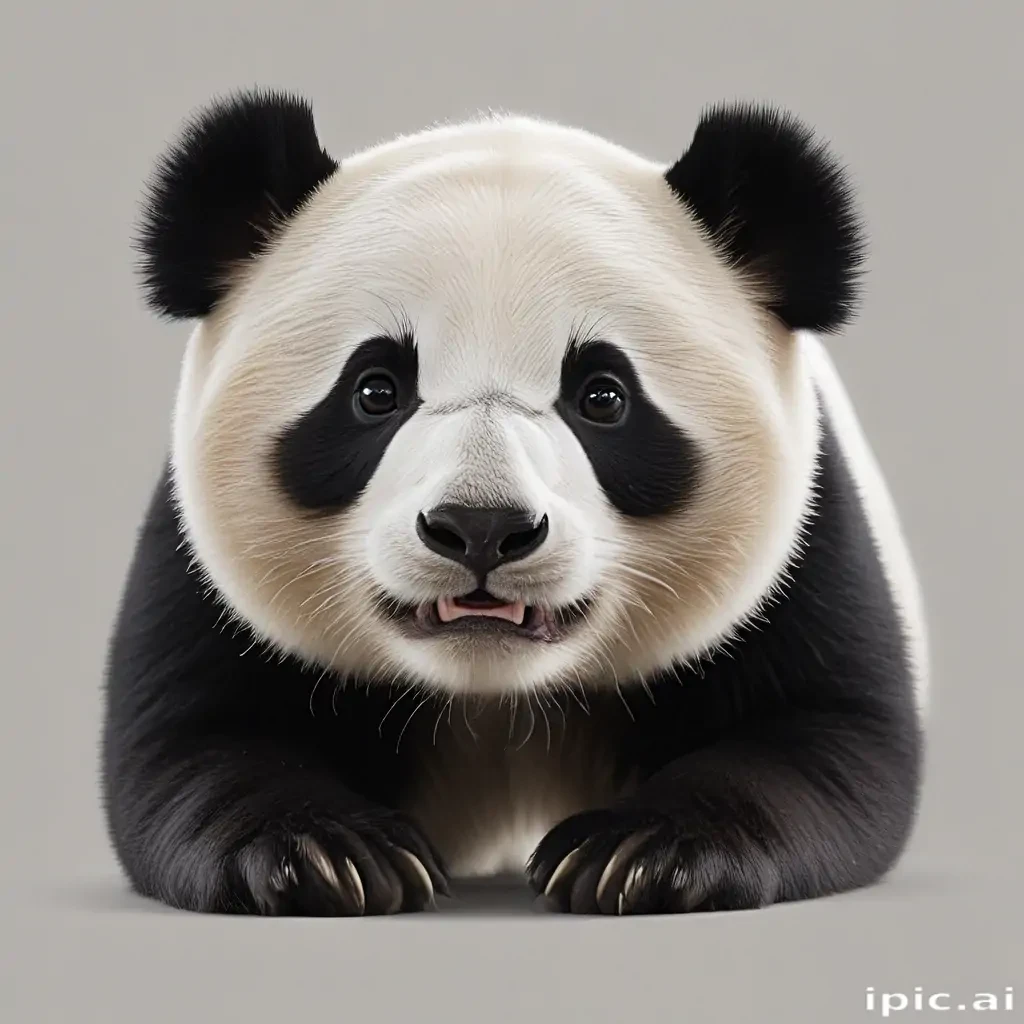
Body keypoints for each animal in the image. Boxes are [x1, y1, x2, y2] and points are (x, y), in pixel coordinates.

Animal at [102, 89, 927, 916]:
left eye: (603, 396)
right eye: (375, 390)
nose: (481, 528)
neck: (495, 692)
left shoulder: (806, 543)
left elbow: (825, 735)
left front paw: (638, 855)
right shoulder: (200, 568)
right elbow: (195, 739)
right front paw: (325, 855)